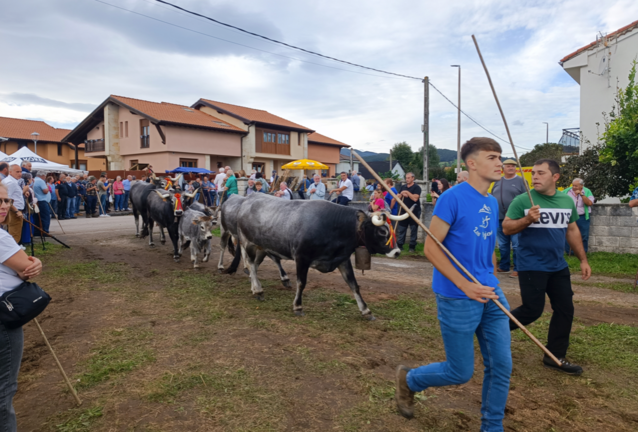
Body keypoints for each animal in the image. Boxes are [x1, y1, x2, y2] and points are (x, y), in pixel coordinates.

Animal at [236, 194, 410, 318]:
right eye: (381, 231)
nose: (397, 252)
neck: (334, 225)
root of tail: (248, 198)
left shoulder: (342, 259)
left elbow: (354, 285)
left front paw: (366, 310)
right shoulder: (301, 257)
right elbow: (301, 283)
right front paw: (298, 306)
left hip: (262, 248)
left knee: (255, 266)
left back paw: (255, 288)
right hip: (249, 243)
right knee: (251, 265)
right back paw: (258, 291)